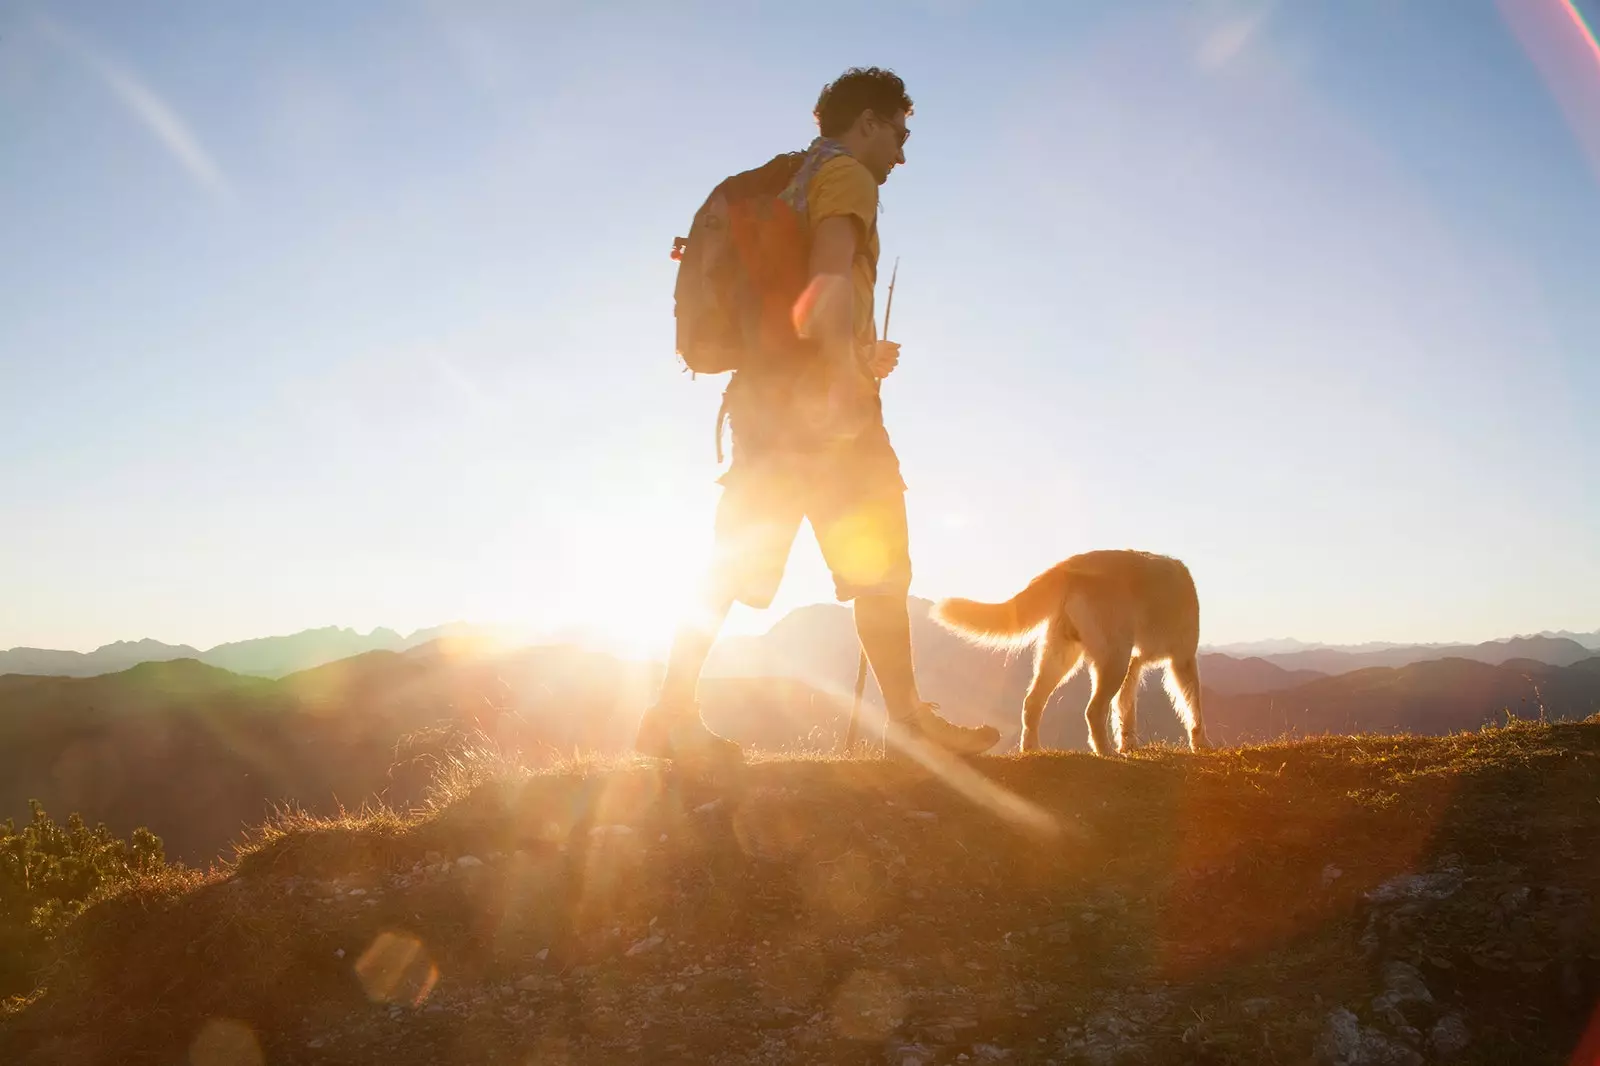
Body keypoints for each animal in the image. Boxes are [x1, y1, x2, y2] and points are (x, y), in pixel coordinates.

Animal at [934, 550, 1203, 752]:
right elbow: (1194, 709)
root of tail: (1070, 563)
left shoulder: (1134, 667)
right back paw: (1105, 752)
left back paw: (1032, 749)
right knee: (1092, 711)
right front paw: (1201, 745)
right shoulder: (1182, 660)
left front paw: (1129, 746)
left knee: (1032, 702)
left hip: (1062, 657)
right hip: (1113, 660)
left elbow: (1125, 710)